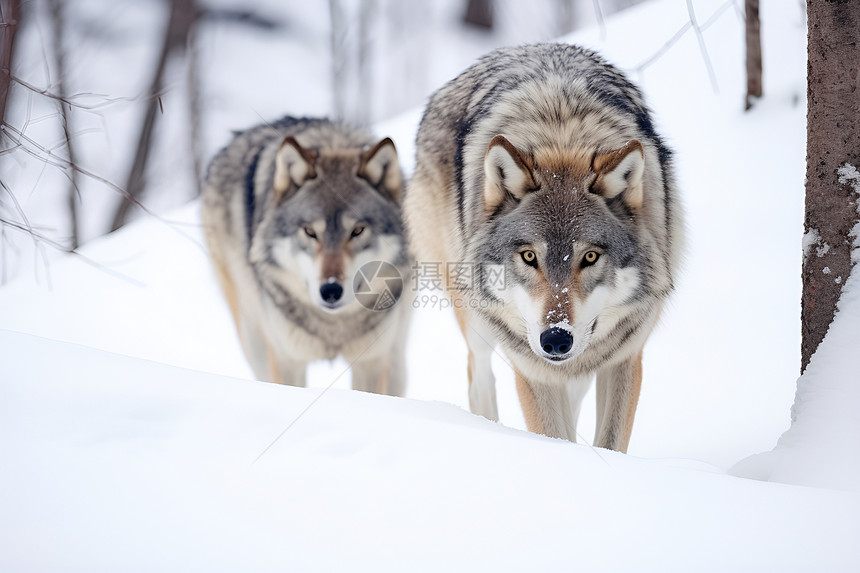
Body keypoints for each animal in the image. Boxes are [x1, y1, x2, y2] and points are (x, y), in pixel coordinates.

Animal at [205, 115, 414, 394]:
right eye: (310, 231)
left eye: (357, 231)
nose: (331, 290)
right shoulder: (287, 359)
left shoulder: (371, 361)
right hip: (253, 338)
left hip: (396, 357)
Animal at [404, 44, 684, 452]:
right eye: (529, 256)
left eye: (590, 257)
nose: (555, 339)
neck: (561, 134)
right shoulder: (533, 368)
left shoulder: (625, 358)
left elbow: (608, 443)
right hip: (474, 317)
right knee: (478, 375)